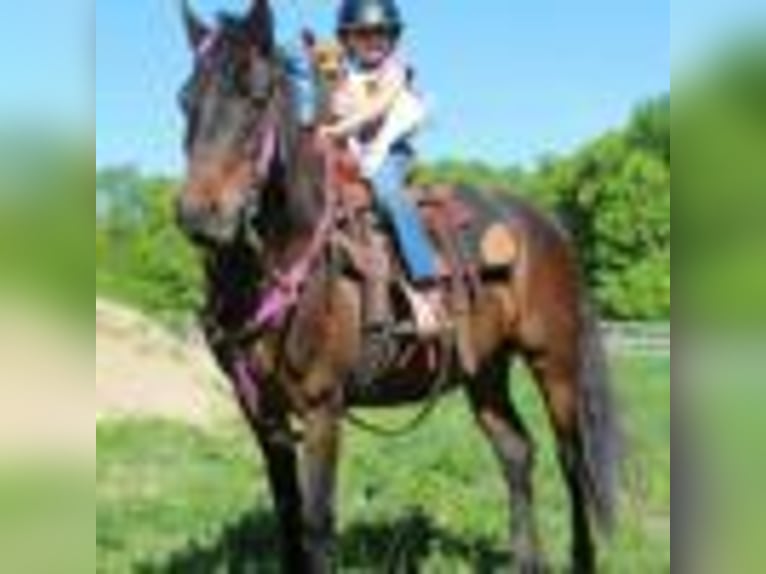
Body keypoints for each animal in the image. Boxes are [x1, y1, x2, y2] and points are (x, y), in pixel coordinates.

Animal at [175, 1, 622, 572]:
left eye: (255, 97)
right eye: (185, 99)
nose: (200, 215)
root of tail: (547, 225)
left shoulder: (321, 409)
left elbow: (318, 525)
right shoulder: (262, 414)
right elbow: (288, 517)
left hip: (554, 362)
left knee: (571, 460)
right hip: (486, 369)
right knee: (516, 451)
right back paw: (527, 559)